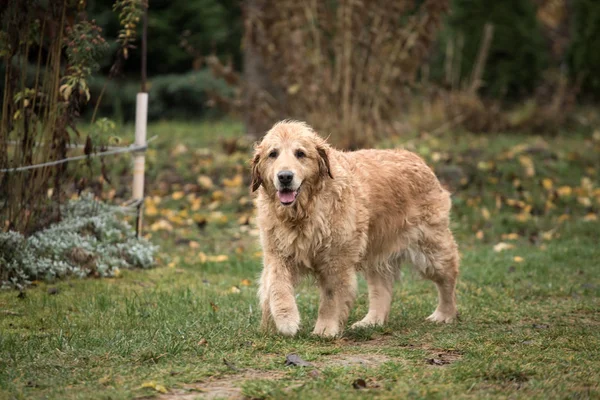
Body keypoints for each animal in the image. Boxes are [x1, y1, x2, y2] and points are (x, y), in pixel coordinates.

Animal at [251, 120, 462, 336]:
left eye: (300, 153)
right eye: (273, 154)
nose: (285, 177)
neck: (302, 213)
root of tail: (417, 158)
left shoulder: (336, 261)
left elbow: (330, 298)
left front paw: (325, 329)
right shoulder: (277, 254)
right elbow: (276, 285)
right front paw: (283, 320)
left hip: (431, 250)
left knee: (449, 277)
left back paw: (444, 314)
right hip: (376, 252)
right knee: (381, 289)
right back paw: (371, 322)